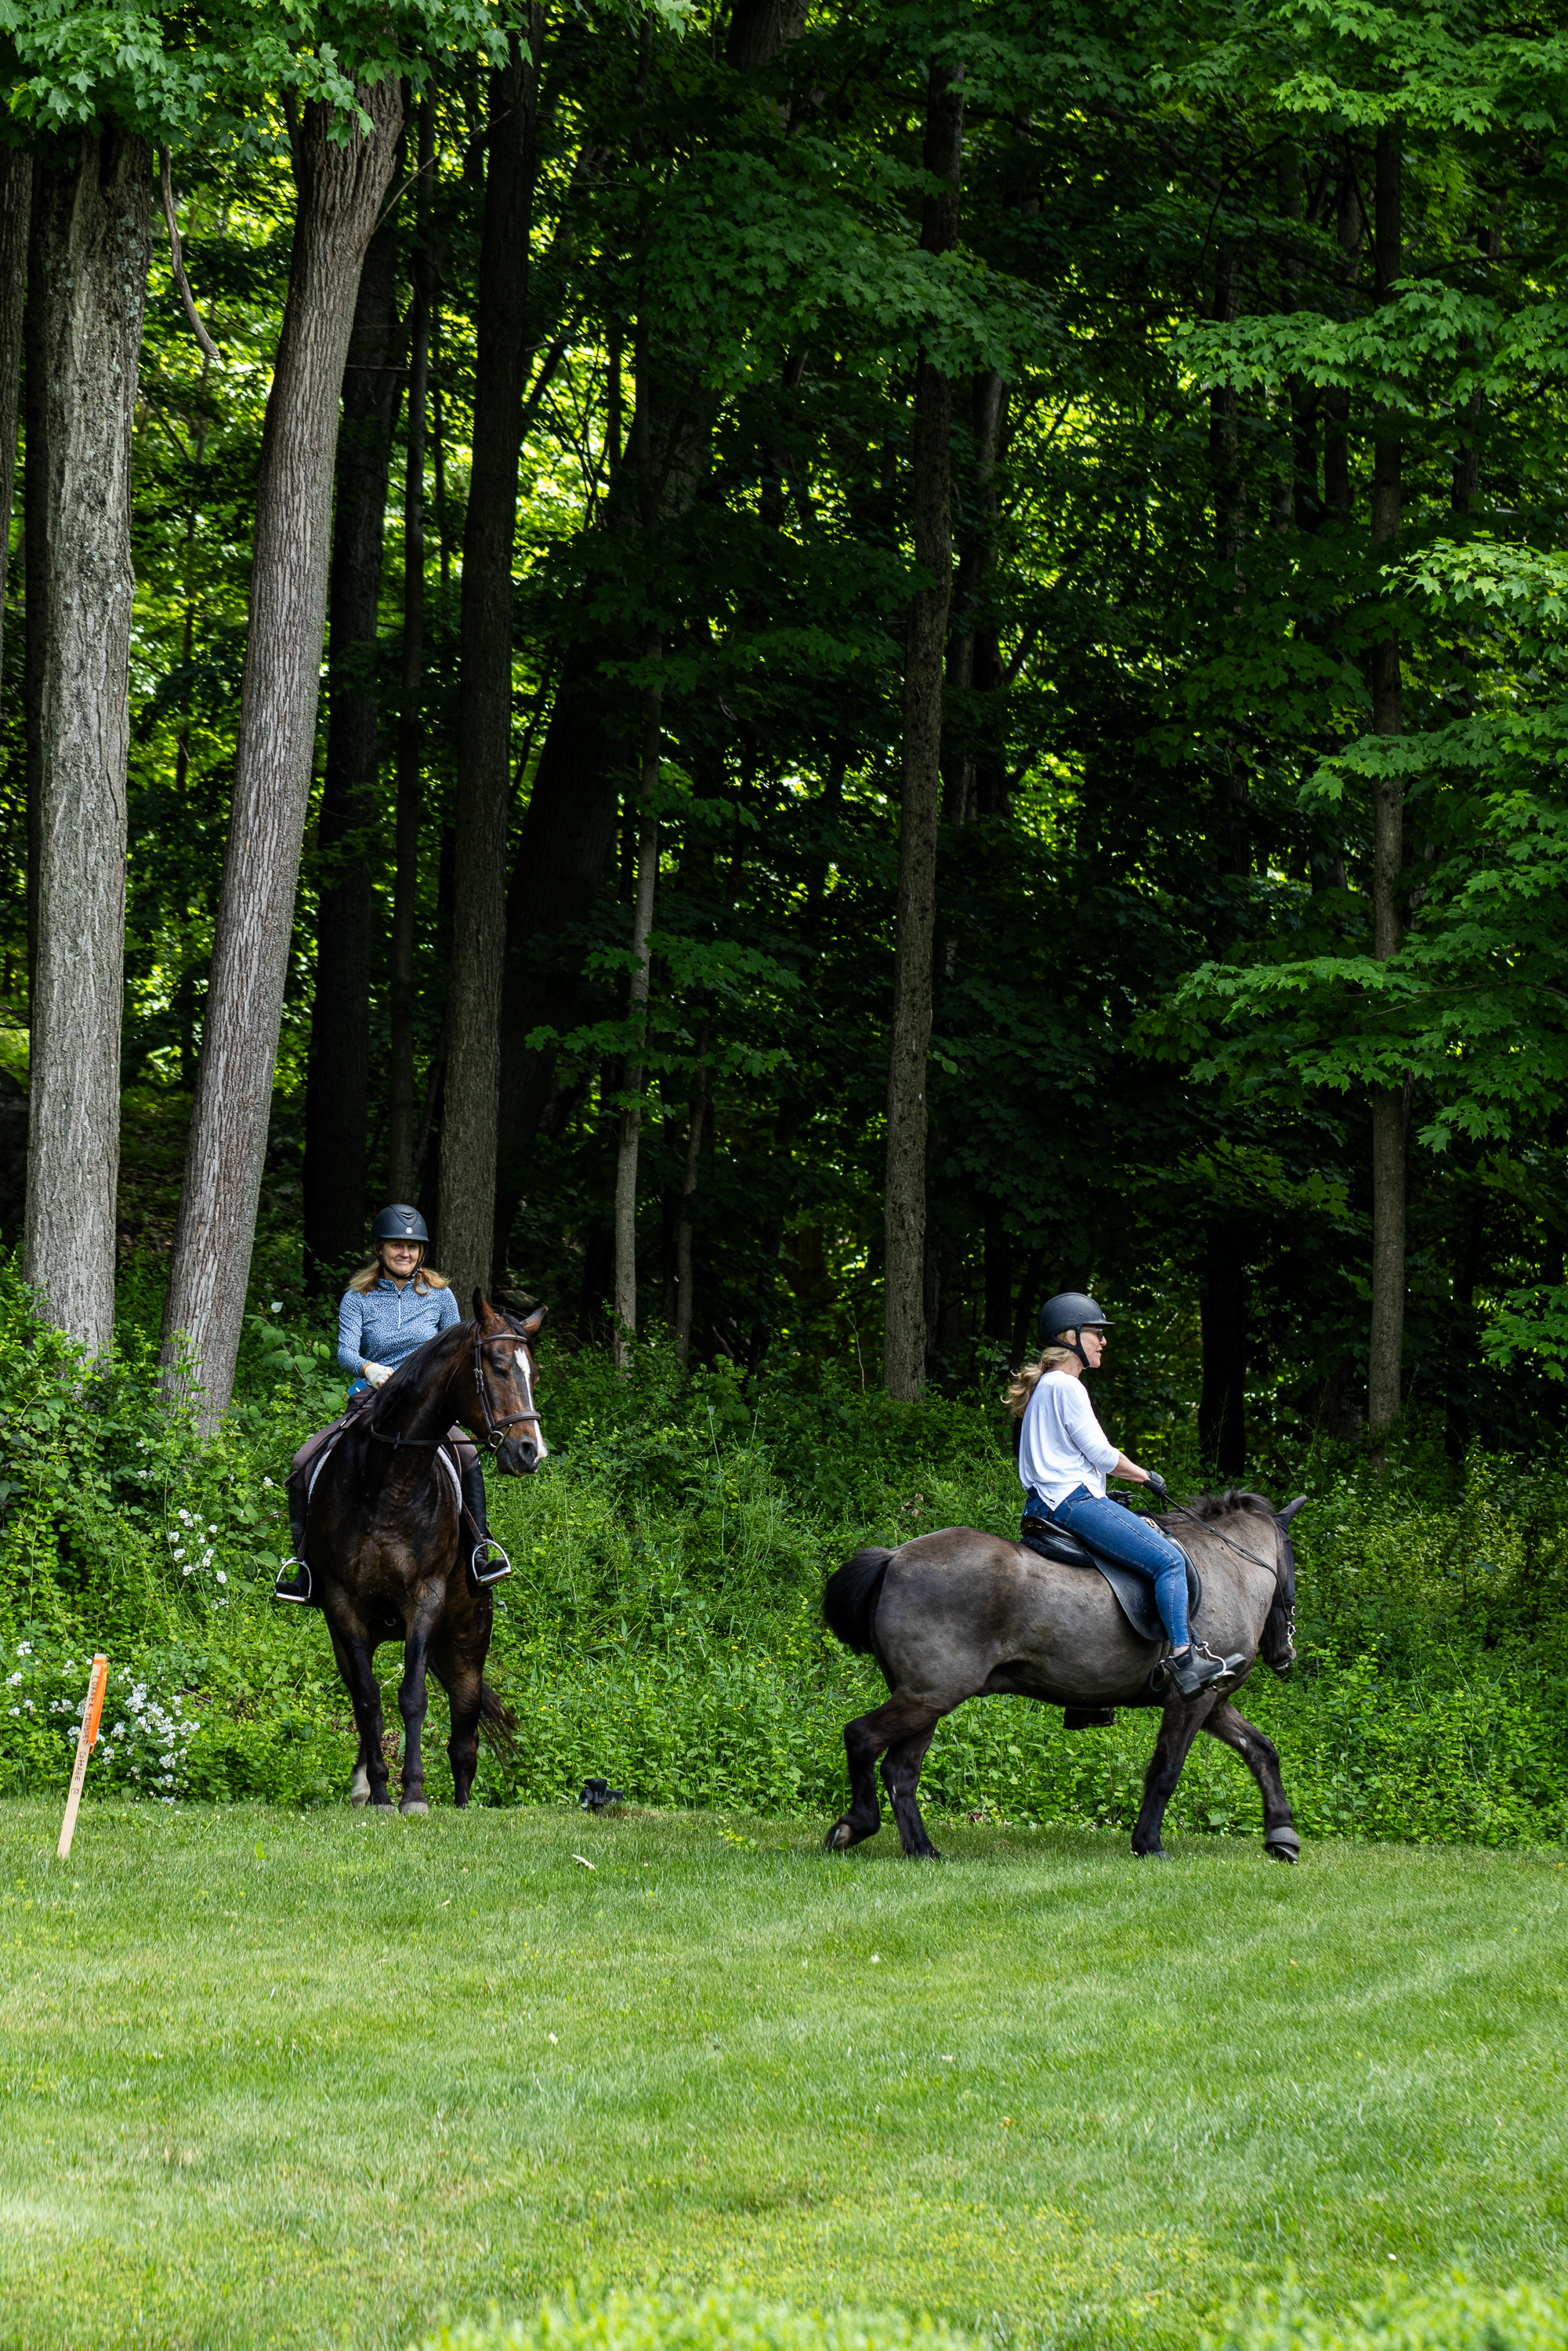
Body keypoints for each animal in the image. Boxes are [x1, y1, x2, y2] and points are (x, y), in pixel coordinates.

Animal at [304, 1292, 547, 1815]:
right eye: (499, 1368)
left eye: (533, 1375)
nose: (530, 1452)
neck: (390, 1481)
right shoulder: (342, 1604)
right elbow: (368, 1699)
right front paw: (378, 1792)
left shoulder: (426, 1597)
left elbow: (413, 1697)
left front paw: (413, 1793)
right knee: (363, 1696)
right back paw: (364, 1785)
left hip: (467, 1641)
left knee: (464, 1736)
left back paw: (460, 1802)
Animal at [821, 1489, 1304, 1863]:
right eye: (1292, 1562)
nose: (1285, 1653)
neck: (1227, 1570)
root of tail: (894, 1556)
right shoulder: (1191, 1701)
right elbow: (1166, 1771)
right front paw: (1148, 1844)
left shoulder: (1213, 1702)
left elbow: (1262, 1752)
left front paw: (1282, 1836)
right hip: (931, 1695)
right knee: (862, 1737)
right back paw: (857, 1826)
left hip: (925, 1698)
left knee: (901, 1770)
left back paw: (922, 1850)